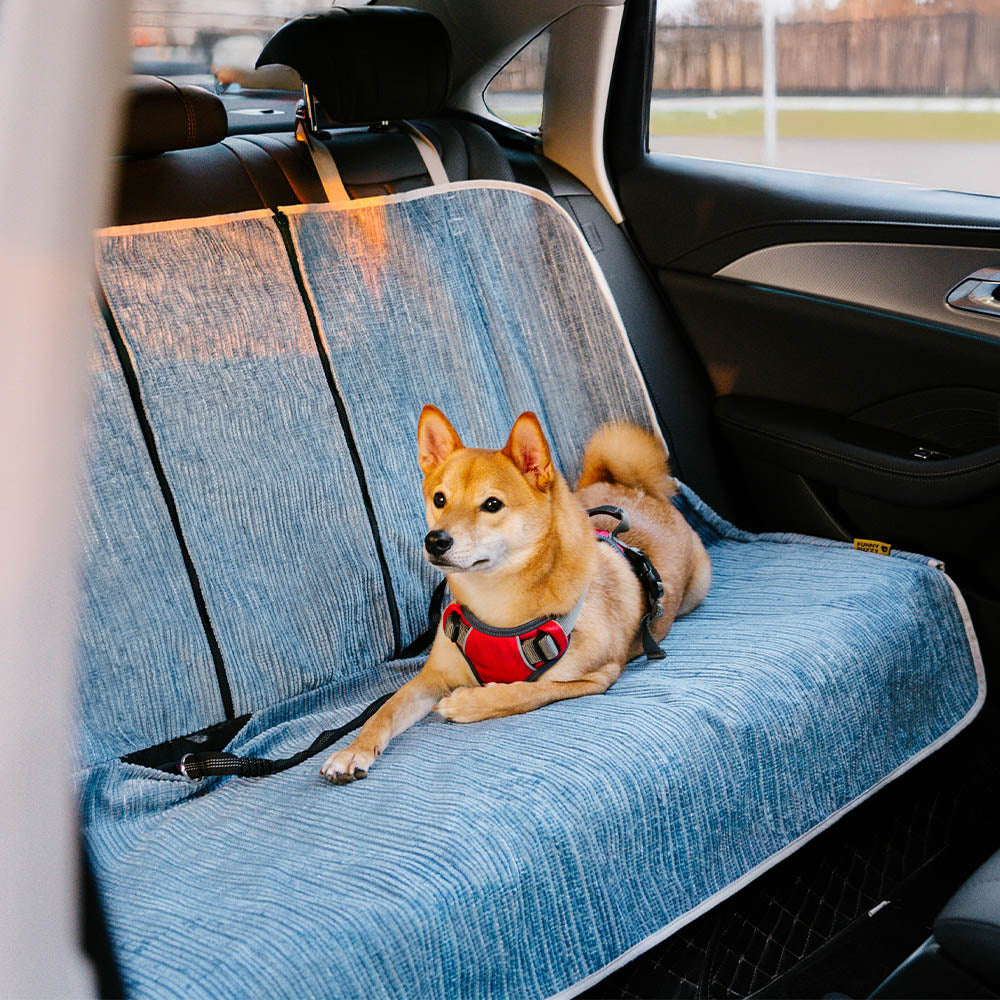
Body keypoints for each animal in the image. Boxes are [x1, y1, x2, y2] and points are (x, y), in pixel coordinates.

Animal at [322, 404, 712, 780]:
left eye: (492, 504)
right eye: (439, 499)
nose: (435, 541)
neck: (496, 604)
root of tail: (635, 490)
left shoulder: (595, 677)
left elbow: (525, 692)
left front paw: (466, 703)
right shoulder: (431, 678)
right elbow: (384, 712)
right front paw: (352, 751)